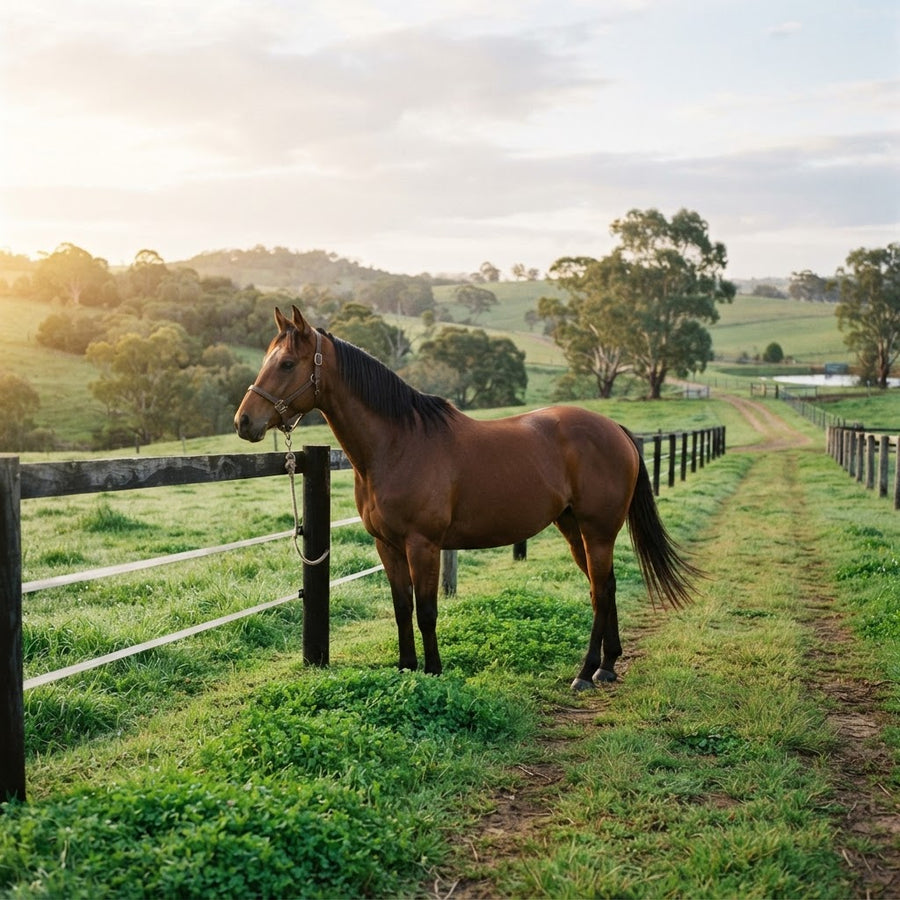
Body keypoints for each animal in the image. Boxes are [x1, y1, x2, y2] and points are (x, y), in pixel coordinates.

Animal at [235, 306, 699, 690]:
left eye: (287, 363)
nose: (244, 422)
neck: (399, 443)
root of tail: (615, 429)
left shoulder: (423, 544)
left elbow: (426, 611)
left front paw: (434, 671)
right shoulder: (387, 546)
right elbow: (401, 607)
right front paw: (406, 668)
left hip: (597, 531)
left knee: (600, 592)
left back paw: (585, 673)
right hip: (573, 528)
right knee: (607, 586)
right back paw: (608, 665)